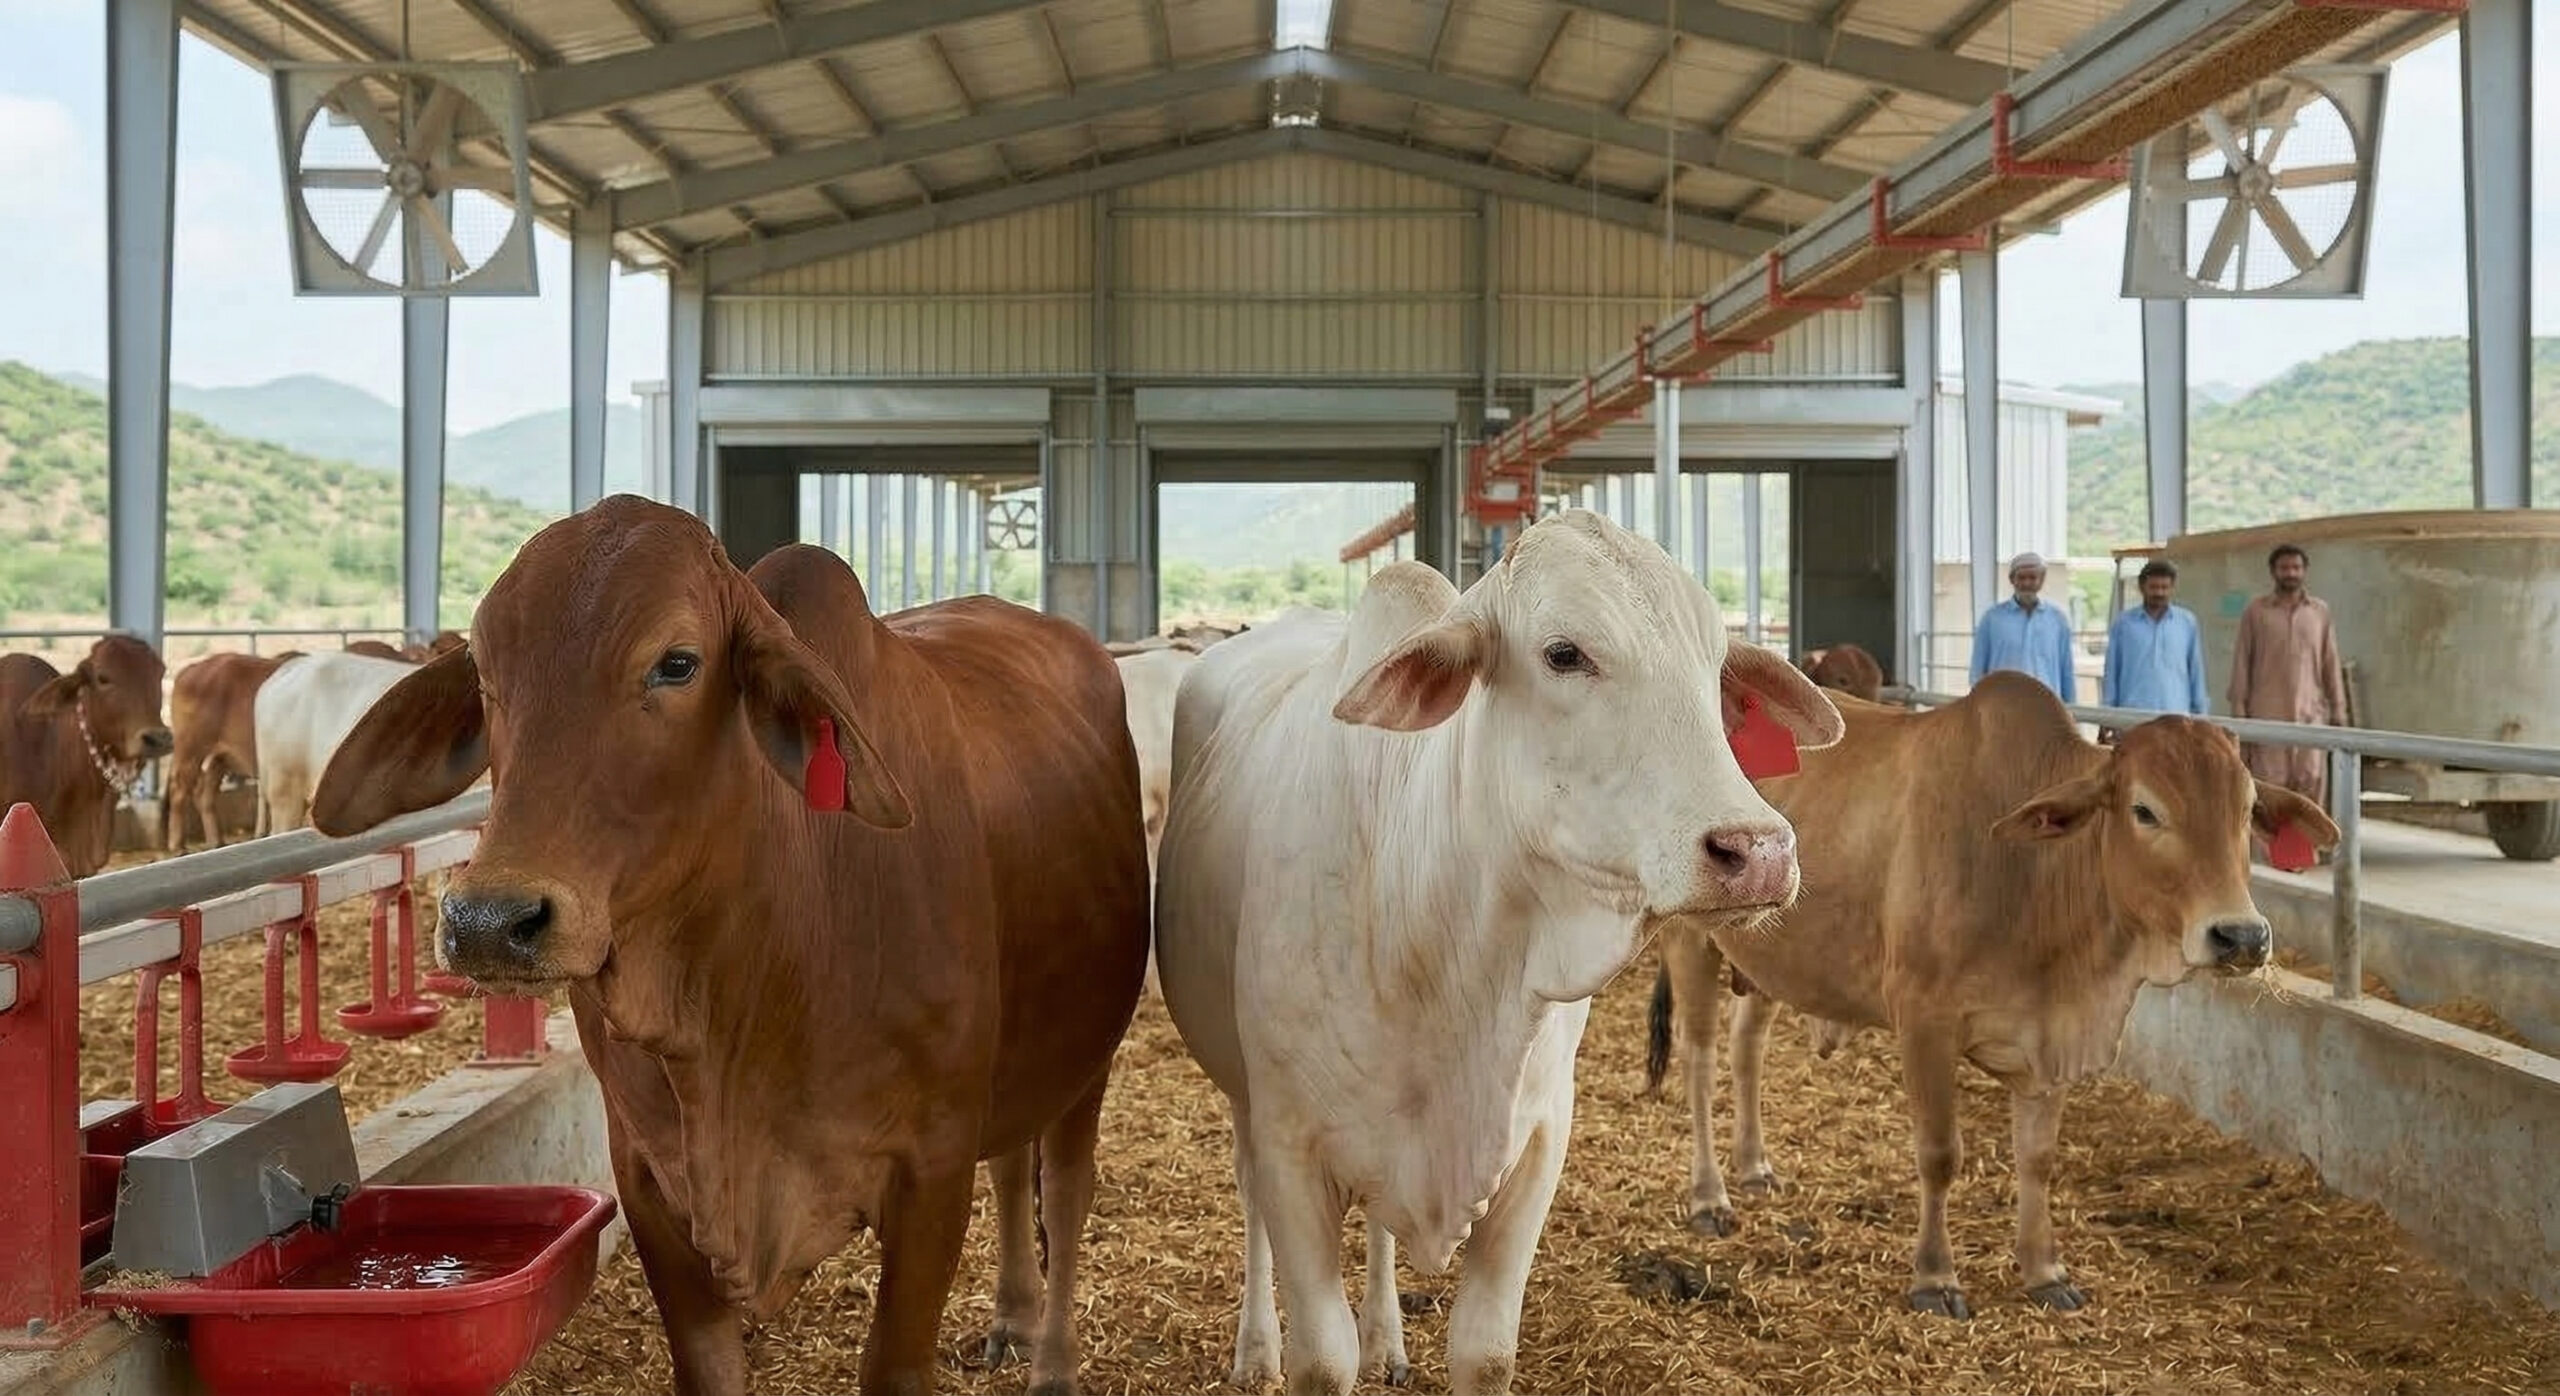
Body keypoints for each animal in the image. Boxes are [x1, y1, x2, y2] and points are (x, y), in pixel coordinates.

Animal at [161, 650, 301, 851]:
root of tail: (191, 670)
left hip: (219, 758)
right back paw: (178, 845)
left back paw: (217, 840)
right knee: (179, 790)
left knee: (204, 794)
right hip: (191, 749)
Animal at [305, 495, 1151, 1396]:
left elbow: (896, 1360)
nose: (489, 921)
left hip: (1087, 1052)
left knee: (1064, 1188)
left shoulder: (934, 1167)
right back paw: (1012, 1320)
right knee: (1015, 1167)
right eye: (487, 677)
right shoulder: (647, 1176)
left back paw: (1053, 1359)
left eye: (678, 663)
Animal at [1154, 509, 1844, 1396]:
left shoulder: (1537, 1147)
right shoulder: (1289, 1146)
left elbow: (1484, 1351)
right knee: (1250, 1205)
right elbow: (1321, 1358)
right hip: (1240, 1095)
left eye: (1716, 663)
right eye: (1564, 653)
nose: (1757, 850)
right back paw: (1254, 1348)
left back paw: (1387, 1339)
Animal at [1642, 671, 2340, 1319]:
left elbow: (2037, 1157)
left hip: (1769, 960)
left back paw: (1755, 1168)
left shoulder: (2052, 1037)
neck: (2034, 878)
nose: (2240, 936)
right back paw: (1709, 1198)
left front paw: (2045, 1271)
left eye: (2248, 811)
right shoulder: (1924, 1021)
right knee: (1700, 1060)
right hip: (1691, 939)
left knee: (1747, 1048)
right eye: (2145, 811)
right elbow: (1940, 1154)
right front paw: (1935, 1279)